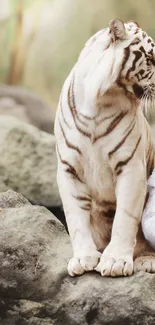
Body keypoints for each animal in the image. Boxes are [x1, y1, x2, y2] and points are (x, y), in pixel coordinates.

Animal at [54, 18, 155, 276]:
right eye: (151, 58)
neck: (100, 100)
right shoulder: (68, 168)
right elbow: (76, 218)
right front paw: (83, 258)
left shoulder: (130, 166)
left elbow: (125, 217)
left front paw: (115, 261)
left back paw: (147, 260)